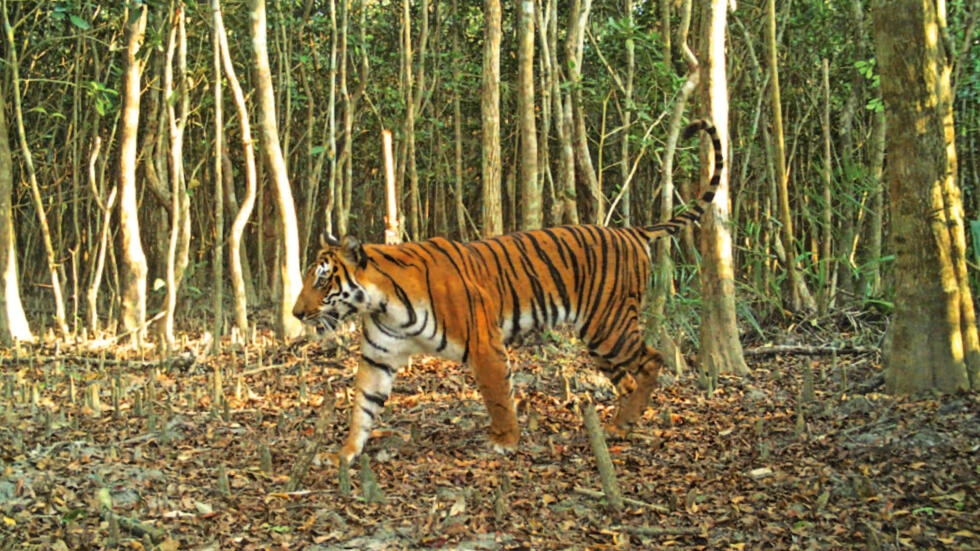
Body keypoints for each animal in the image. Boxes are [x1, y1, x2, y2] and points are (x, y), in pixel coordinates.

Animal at [290, 119, 720, 466]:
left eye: (322, 280)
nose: (295, 314)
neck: (382, 304)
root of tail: (631, 231)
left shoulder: (485, 344)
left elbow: (497, 395)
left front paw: (505, 441)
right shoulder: (378, 357)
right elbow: (362, 406)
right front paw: (344, 454)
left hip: (609, 327)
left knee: (653, 359)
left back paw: (625, 421)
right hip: (600, 339)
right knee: (628, 378)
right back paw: (618, 424)